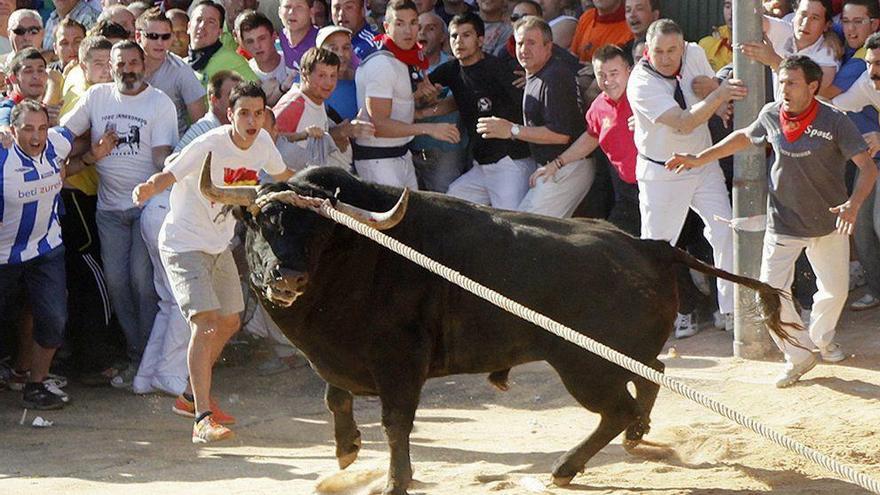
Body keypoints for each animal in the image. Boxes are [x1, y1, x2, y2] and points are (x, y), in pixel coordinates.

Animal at [203, 161, 796, 494]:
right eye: (261, 222)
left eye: (321, 232)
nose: (288, 276)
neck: (361, 256)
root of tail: (650, 245)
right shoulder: (342, 359)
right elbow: (335, 397)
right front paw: (347, 450)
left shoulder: (400, 364)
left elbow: (396, 424)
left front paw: (395, 481)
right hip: (612, 357)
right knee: (650, 375)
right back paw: (630, 439)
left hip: (583, 365)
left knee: (620, 404)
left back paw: (567, 467)